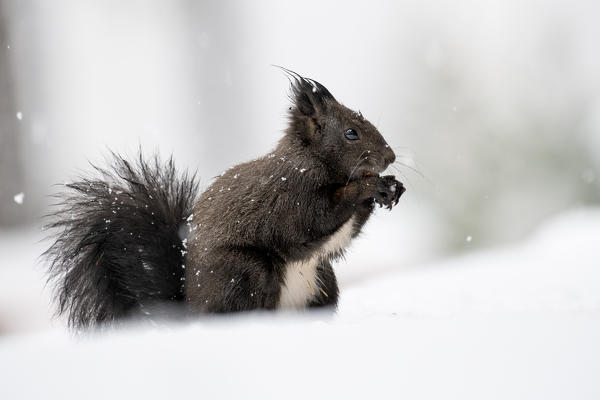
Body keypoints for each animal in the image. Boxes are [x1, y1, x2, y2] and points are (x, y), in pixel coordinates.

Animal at [44, 69, 406, 328]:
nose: (390, 156)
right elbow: (311, 222)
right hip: (244, 272)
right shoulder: (289, 196)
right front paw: (368, 188)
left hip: (322, 280)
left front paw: (390, 187)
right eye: (351, 133)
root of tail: (191, 309)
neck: (309, 160)